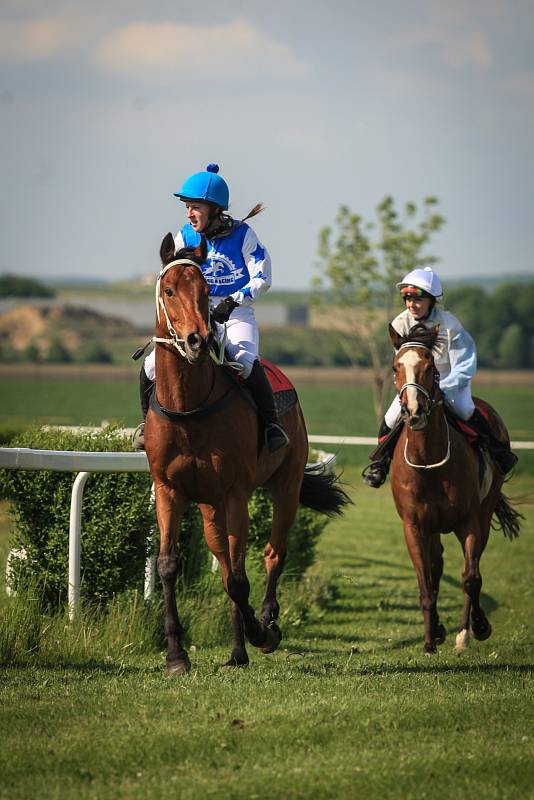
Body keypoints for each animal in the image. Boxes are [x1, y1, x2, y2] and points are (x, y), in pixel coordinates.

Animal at [142, 233, 352, 676]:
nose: (198, 340)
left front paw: (262, 633)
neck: (189, 407)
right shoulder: (169, 490)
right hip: (209, 508)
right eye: (169, 291)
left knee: (272, 553)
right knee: (225, 562)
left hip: (285, 486)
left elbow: (240, 580)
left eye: (206, 292)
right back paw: (237, 652)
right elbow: (172, 566)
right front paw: (176, 656)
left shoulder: (236, 492)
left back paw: (264, 625)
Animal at [388, 322, 520, 652]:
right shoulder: (415, 525)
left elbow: (471, 578)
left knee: (471, 570)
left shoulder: (469, 521)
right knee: (437, 567)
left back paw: (464, 633)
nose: (413, 411)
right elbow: (426, 581)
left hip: (484, 513)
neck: (429, 461)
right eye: (396, 367)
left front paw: (477, 627)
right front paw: (429, 640)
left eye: (429, 366)